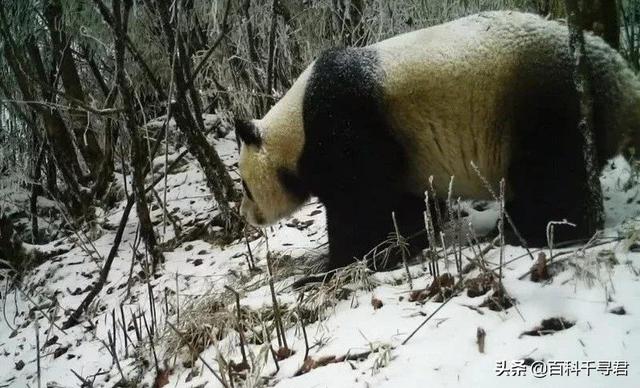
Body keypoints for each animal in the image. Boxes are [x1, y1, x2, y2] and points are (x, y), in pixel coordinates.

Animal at [234, 12, 640, 272]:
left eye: (247, 187)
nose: (245, 215)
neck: (293, 127)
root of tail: (623, 81)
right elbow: (403, 204)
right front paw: (405, 244)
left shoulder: (345, 122)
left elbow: (363, 203)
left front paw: (334, 264)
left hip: (549, 104)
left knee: (553, 172)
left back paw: (531, 230)